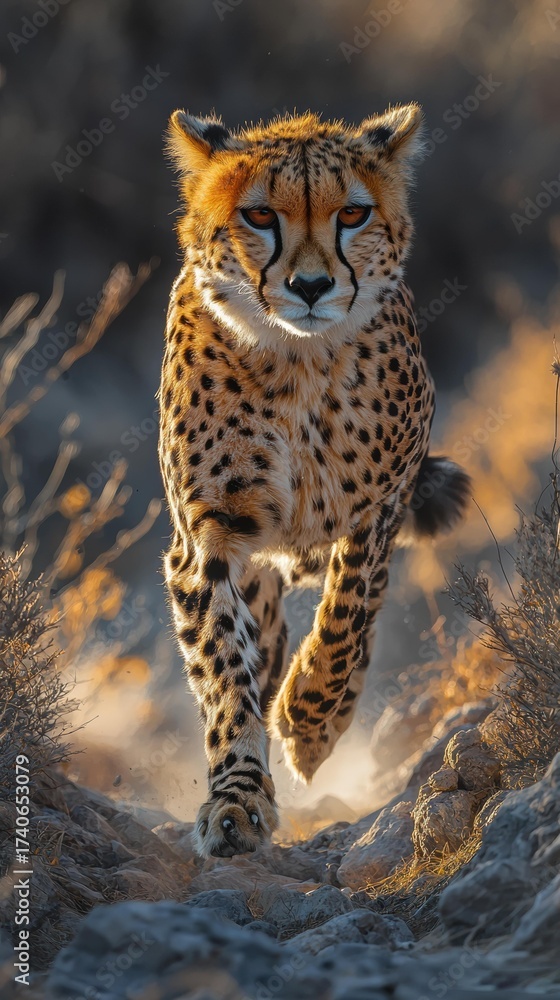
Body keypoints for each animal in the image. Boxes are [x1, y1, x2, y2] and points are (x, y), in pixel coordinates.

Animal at [159, 104, 470, 859]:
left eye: (353, 214)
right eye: (259, 215)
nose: (309, 287)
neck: (296, 361)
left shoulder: (379, 507)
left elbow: (348, 613)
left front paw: (308, 719)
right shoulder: (207, 539)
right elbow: (224, 673)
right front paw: (236, 799)